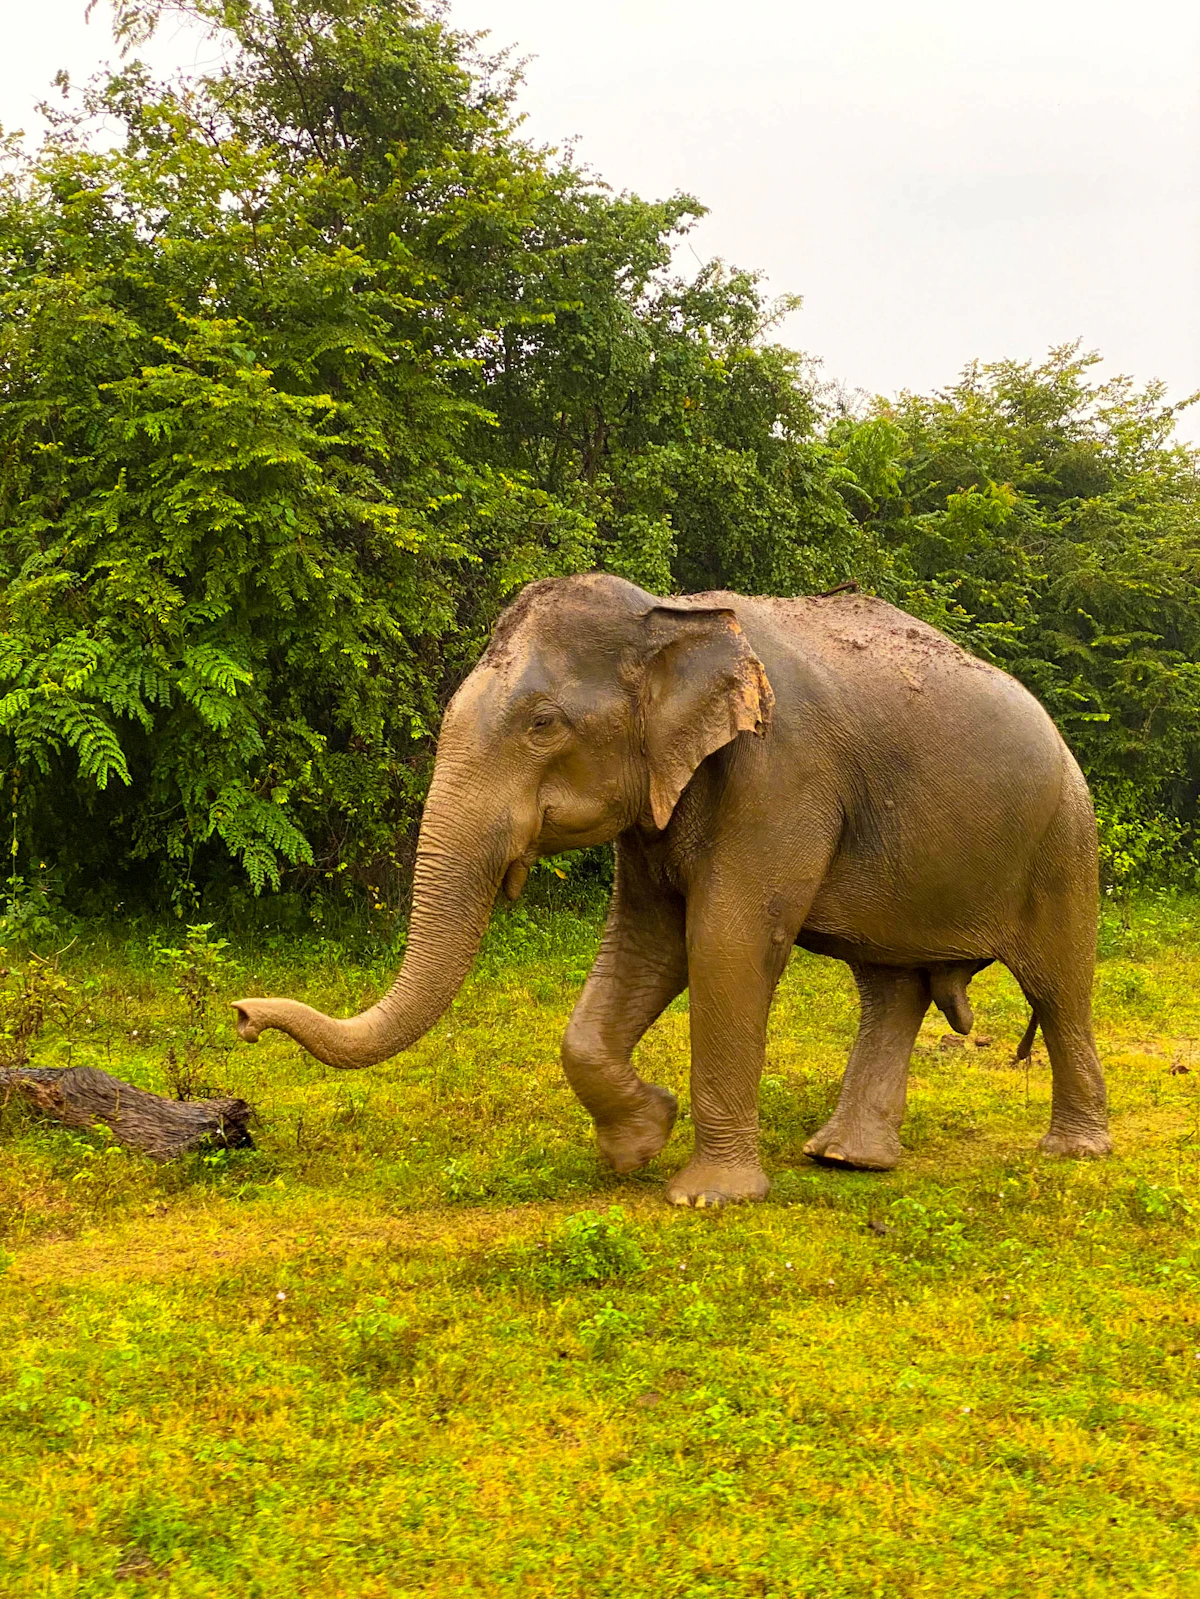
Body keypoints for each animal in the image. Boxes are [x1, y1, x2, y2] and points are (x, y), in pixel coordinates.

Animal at [233, 573, 1110, 1207]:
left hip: (1063, 841)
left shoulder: (780, 773)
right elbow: (645, 941)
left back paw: (1073, 1151)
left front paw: (705, 1197)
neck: (675, 615)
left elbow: (724, 940)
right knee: (889, 988)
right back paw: (845, 1158)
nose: (242, 1016)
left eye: (543, 725)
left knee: (1058, 985)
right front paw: (638, 1143)